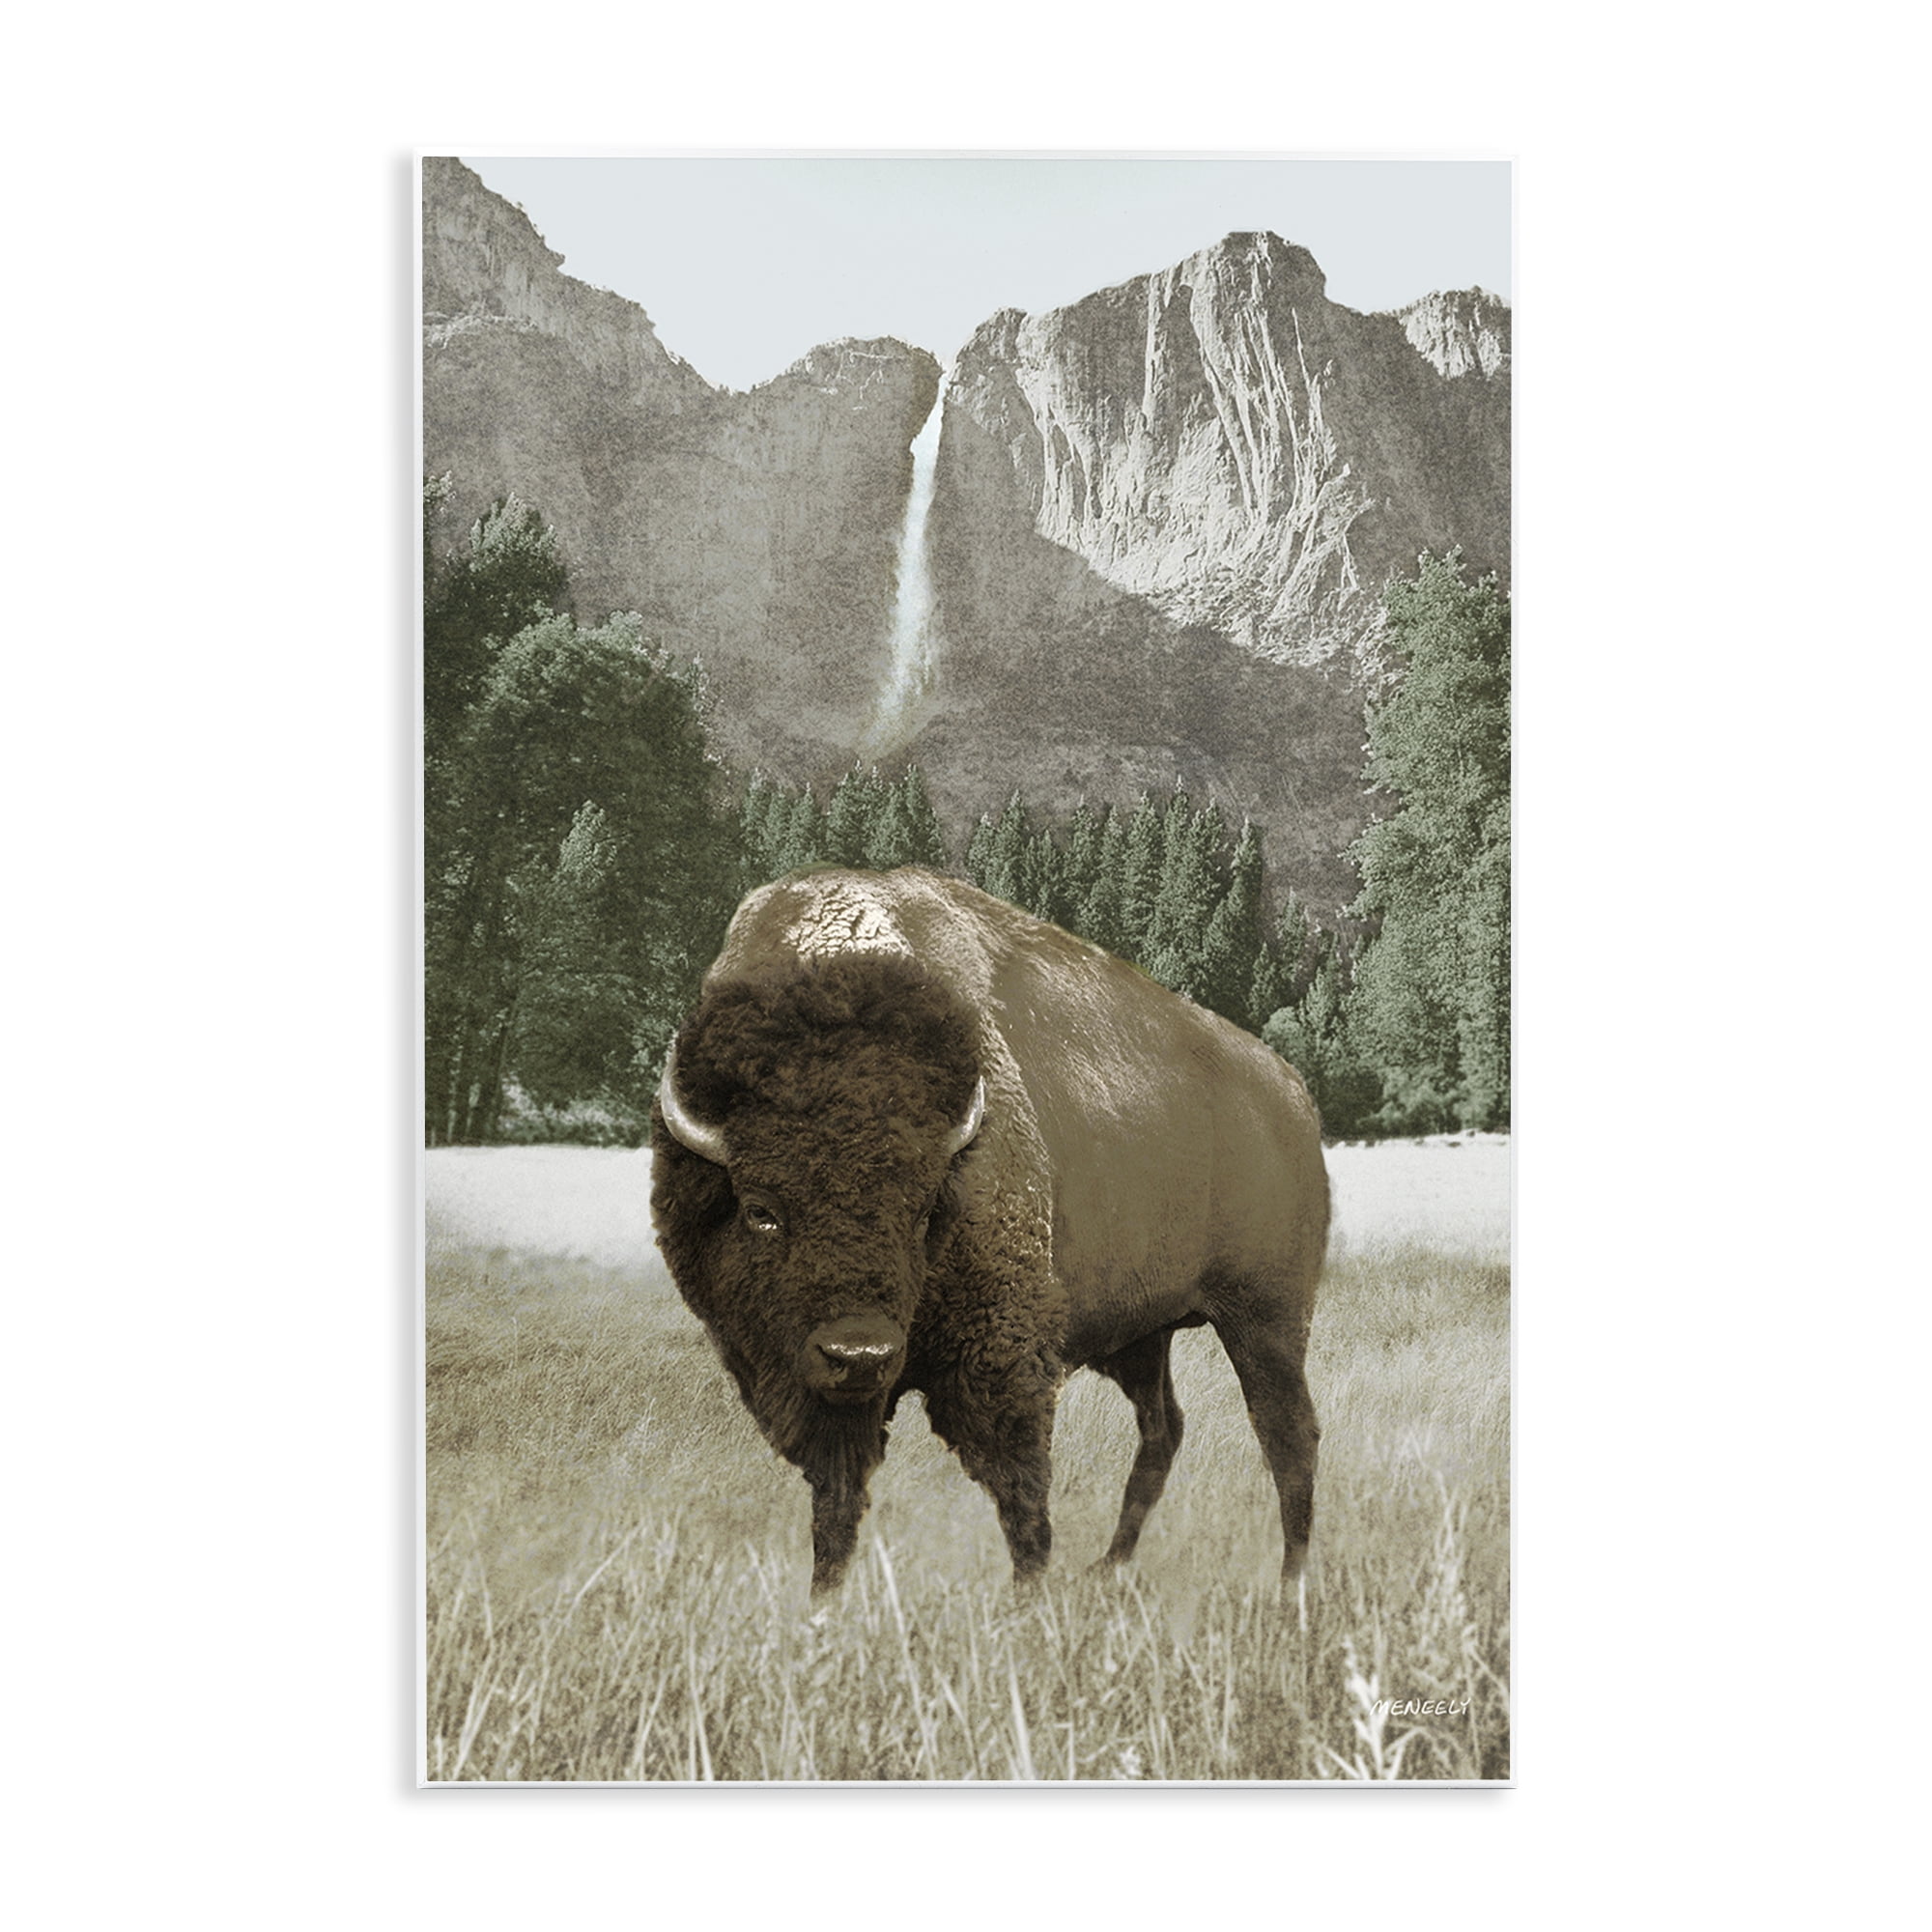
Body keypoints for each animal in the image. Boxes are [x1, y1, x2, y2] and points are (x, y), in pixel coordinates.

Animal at [650, 866, 1328, 1597]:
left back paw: (1290, 1584)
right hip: (1145, 1336)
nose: (859, 1353)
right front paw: (824, 1597)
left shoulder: (1002, 1358)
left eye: (924, 1209)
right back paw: (1110, 1564)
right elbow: (837, 1499)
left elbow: (1019, 1490)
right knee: (1163, 1428)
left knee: (1289, 1436)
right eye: (761, 1210)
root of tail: (1292, 1094)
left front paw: (1028, 1596)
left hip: (1266, 1319)